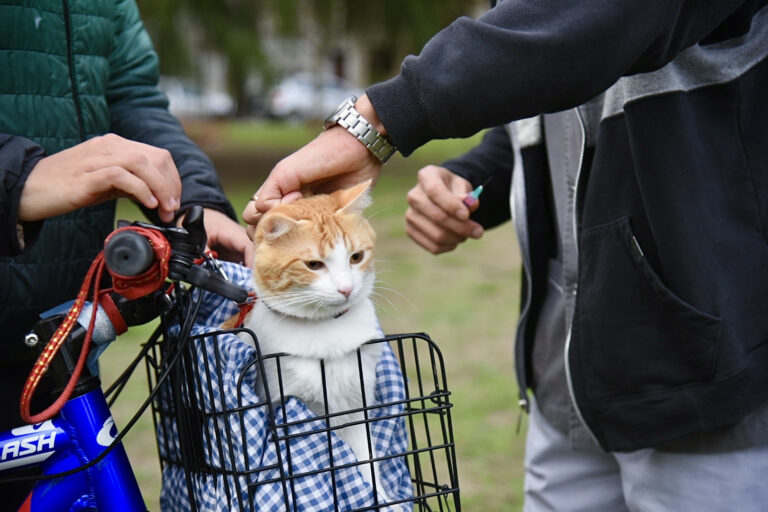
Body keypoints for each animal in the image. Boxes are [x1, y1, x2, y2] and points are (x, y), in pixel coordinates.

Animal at [238, 181, 396, 504]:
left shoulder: (355, 408)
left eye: (356, 257)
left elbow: (367, 463)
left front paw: (383, 499)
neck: (326, 328)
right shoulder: (285, 409)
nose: (346, 289)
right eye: (313, 264)